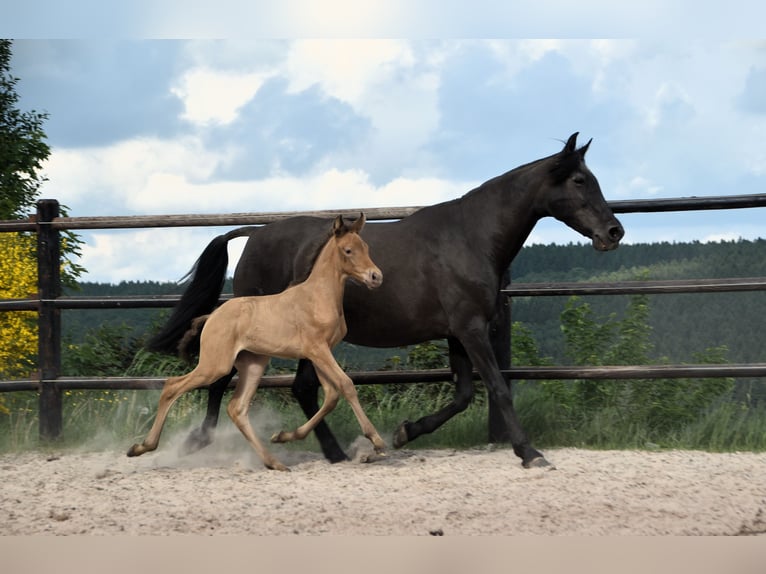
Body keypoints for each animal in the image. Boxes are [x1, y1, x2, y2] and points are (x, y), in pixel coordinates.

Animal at [129, 214, 384, 470]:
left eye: (366, 247)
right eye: (348, 250)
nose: (376, 277)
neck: (317, 297)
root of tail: (211, 316)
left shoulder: (321, 352)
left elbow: (331, 395)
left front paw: (283, 436)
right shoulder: (317, 349)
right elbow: (346, 385)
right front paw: (377, 441)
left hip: (253, 364)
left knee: (237, 408)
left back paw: (274, 462)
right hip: (216, 365)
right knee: (172, 386)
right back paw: (141, 447)